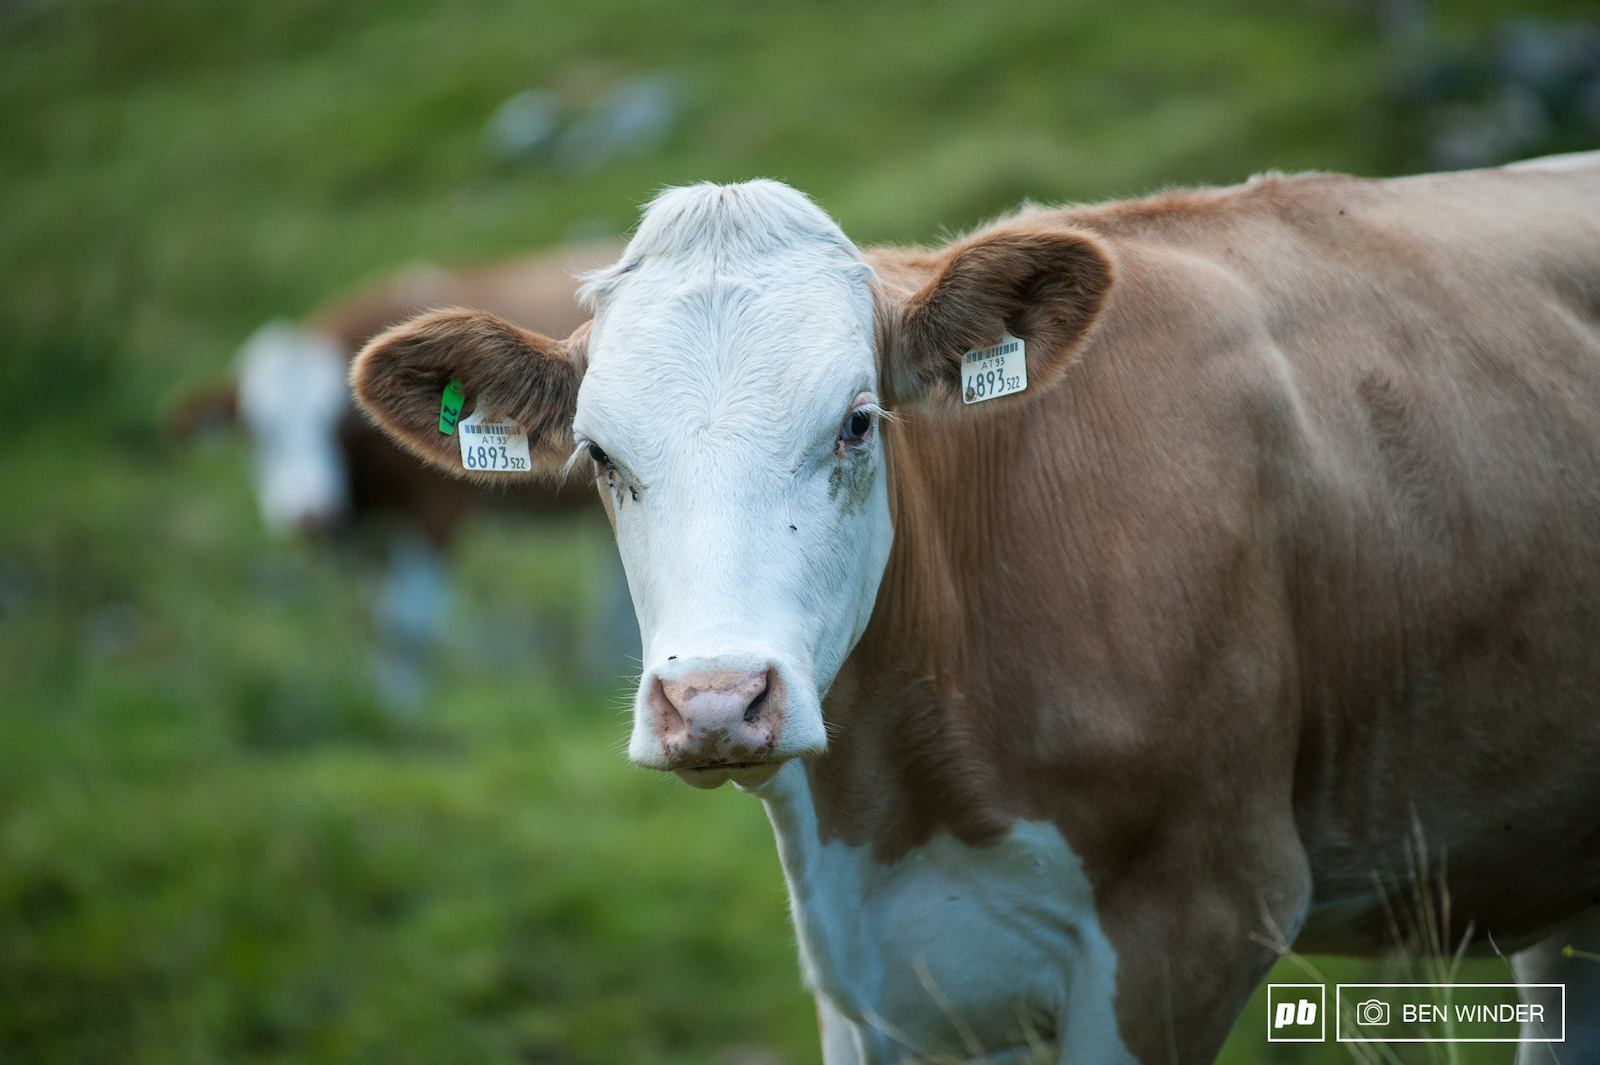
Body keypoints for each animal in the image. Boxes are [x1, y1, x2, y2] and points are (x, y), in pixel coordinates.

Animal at [347, 159, 1600, 1061]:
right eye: (601, 456)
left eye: (856, 422)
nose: (713, 702)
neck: (907, 794)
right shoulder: (871, 984)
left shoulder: (1192, 919)